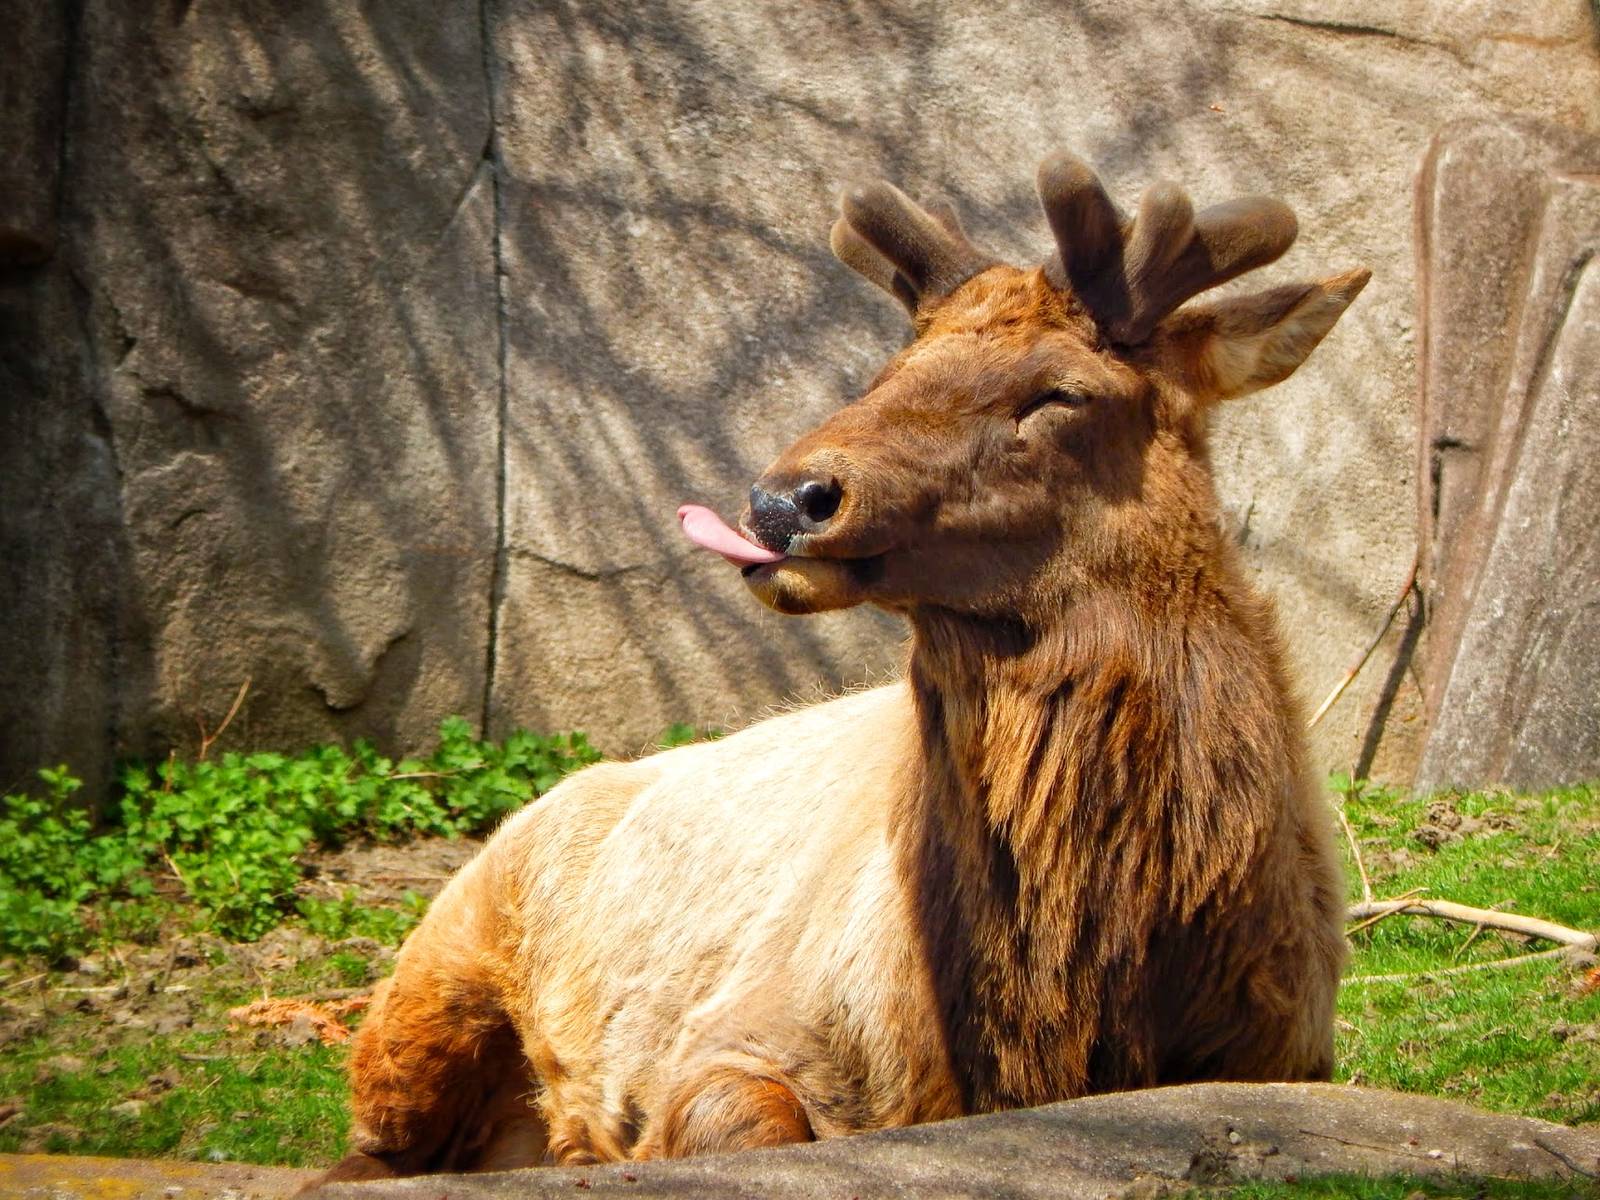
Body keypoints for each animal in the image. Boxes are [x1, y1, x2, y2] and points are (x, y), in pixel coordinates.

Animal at [316, 148, 1363, 1184]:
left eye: (1063, 393)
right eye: (892, 368)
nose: (786, 499)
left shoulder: (1286, 1056)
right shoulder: (733, 1030)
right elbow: (735, 1124)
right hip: (428, 979)